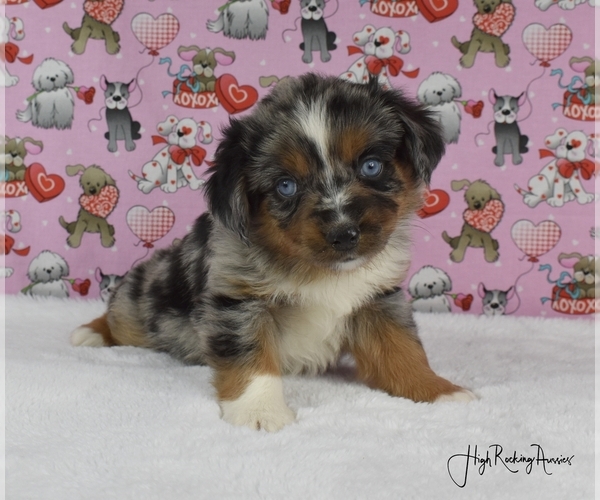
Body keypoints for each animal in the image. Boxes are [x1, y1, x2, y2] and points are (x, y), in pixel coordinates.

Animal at [70, 73, 476, 430]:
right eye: (285, 186)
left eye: (371, 165)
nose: (344, 234)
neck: (319, 269)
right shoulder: (238, 302)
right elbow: (253, 360)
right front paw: (259, 411)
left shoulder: (378, 299)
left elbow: (401, 348)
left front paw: (437, 390)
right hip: (141, 305)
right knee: (121, 317)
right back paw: (91, 333)